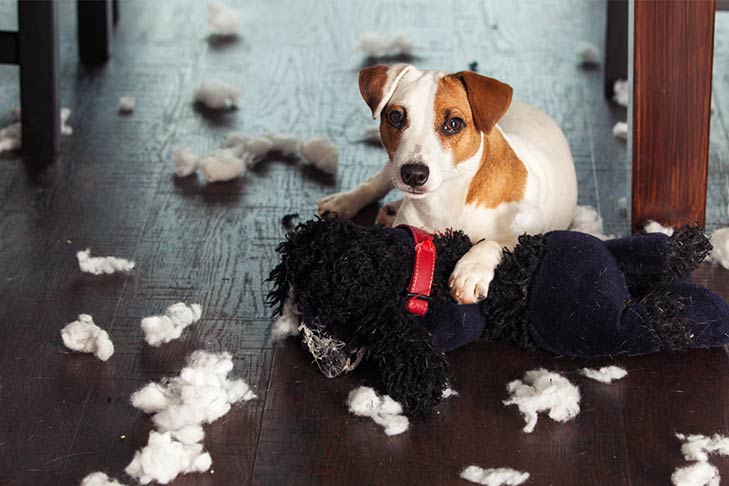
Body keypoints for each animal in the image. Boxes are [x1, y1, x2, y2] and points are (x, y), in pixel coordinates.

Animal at [316, 62, 576, 302]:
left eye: (454, 123)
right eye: (396, 117)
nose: (413, 174)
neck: (449, 197)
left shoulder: (530, 232)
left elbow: (495, 241)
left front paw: (471, 272)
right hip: (391, 167)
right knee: (378, 182)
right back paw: (343, 202)